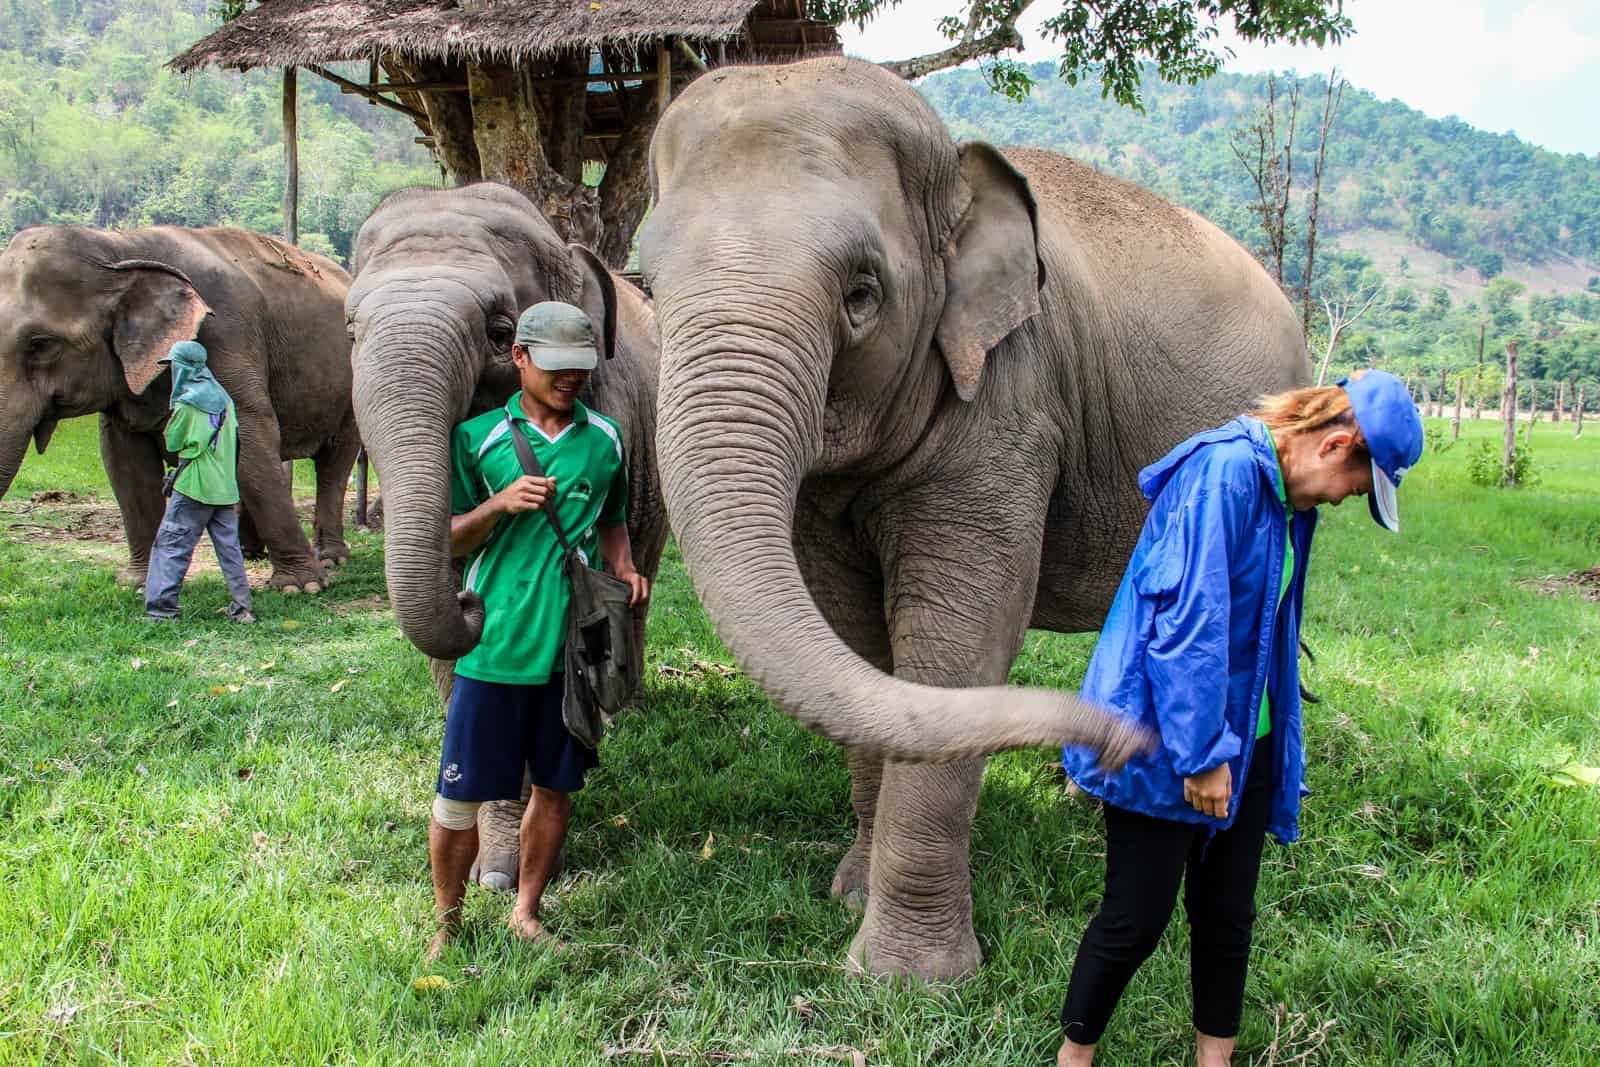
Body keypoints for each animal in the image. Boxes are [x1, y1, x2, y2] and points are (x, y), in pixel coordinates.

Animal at [0, 227, 361, 591]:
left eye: (40, 344)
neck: (119, 247)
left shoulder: (226, 336)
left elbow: (250, 435)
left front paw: (301, 586)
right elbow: (124, 462)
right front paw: (137, 583)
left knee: (333, 464)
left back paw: (330, 558)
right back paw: (248, 552)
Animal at [636, 54, 1312, 979]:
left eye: (861, 292)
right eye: (643, 286)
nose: (1120, 742)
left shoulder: (1013, 405)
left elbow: (958, 638)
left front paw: (908, 979)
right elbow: (851, 636)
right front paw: (850, 890)